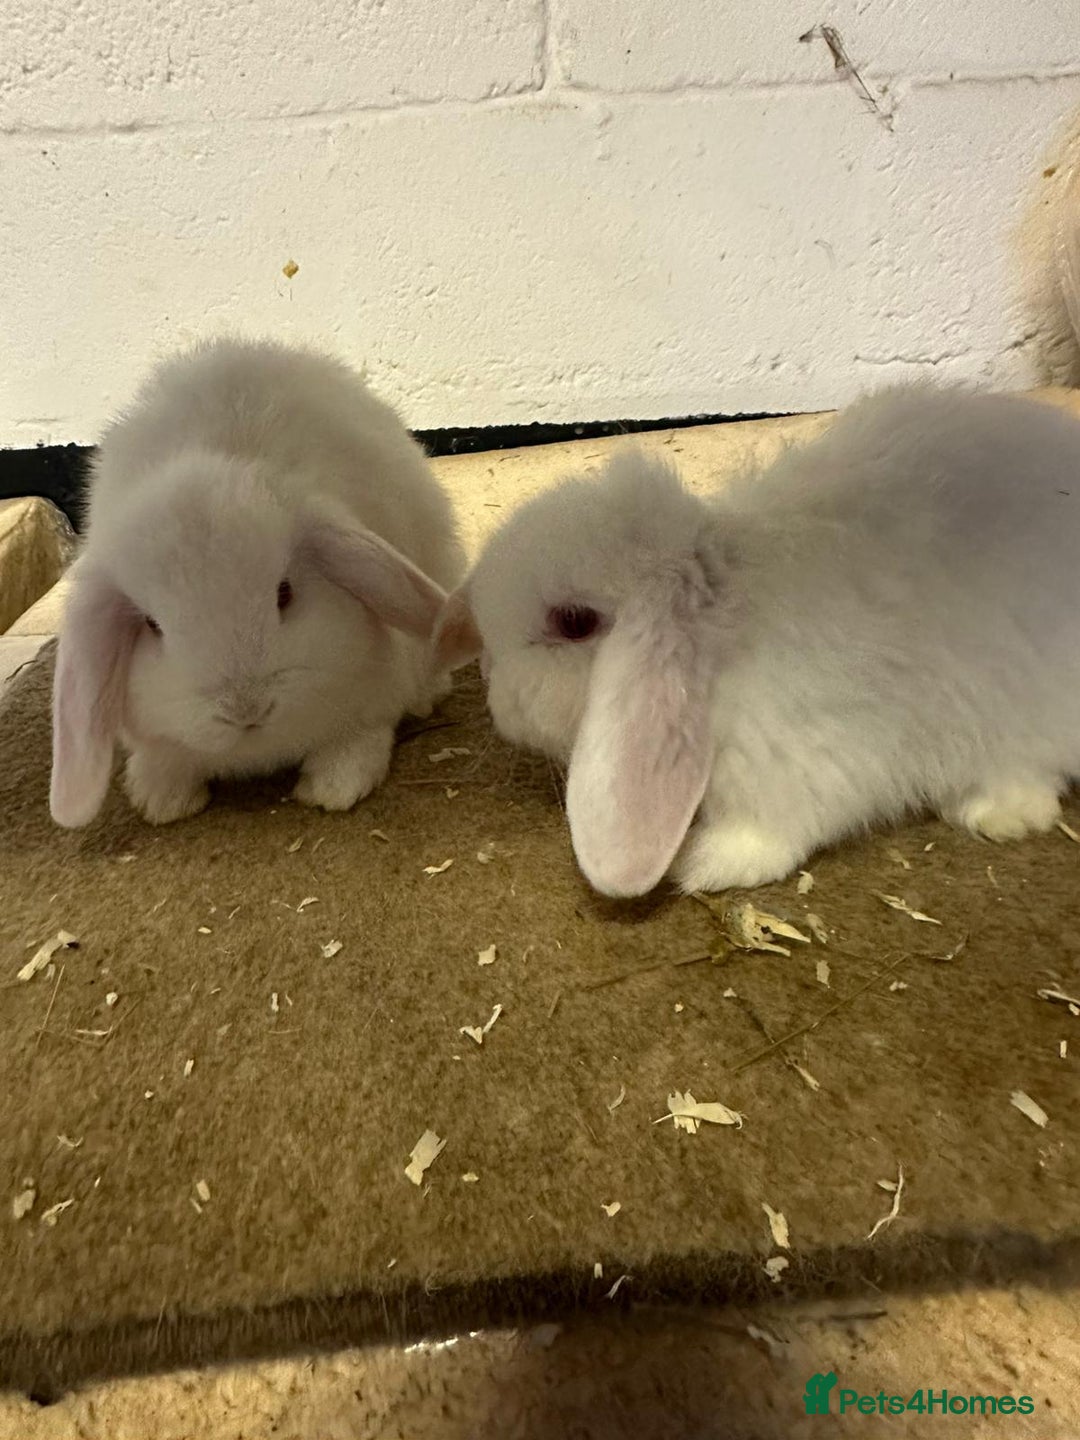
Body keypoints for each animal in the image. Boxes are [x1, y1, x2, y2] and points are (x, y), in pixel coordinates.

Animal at [51, 337, 465, 828]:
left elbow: (360, 738)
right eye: (152, 625)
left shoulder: (373, 697)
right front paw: (161, 800)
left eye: (284, 594)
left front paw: (333, 789)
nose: (244, 710)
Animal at [434, 386, 1080, 898]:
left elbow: (772, 830)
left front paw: (704, 864)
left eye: (573, 622)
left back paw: (996, 811)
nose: (492, 688)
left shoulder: (808, 762)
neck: (723, 629)